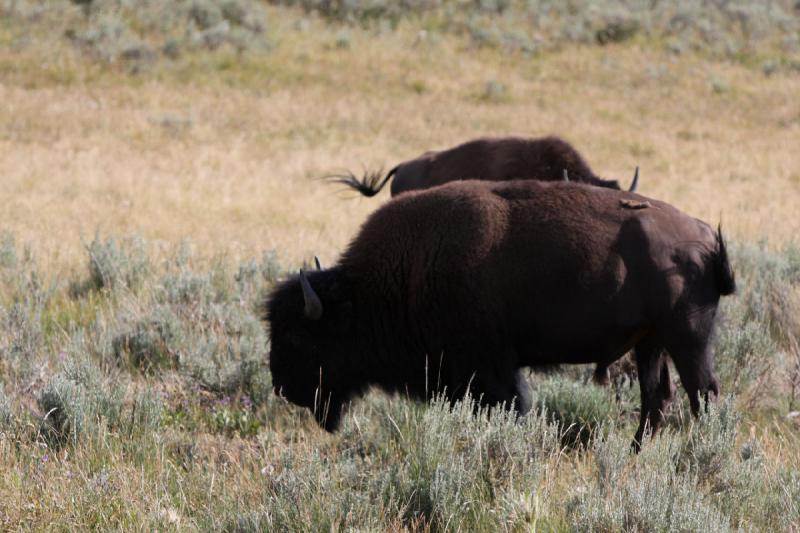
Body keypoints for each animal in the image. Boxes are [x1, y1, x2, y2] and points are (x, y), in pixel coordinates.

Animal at [266, 178, 736, 444]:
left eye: (298, 336)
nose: (280, 385)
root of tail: (706, 236)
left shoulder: (491, 369)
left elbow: (513, 407)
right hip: (650, 342)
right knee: (658, 398)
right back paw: (636, 454)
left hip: (687, 338)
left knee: (702, 394)